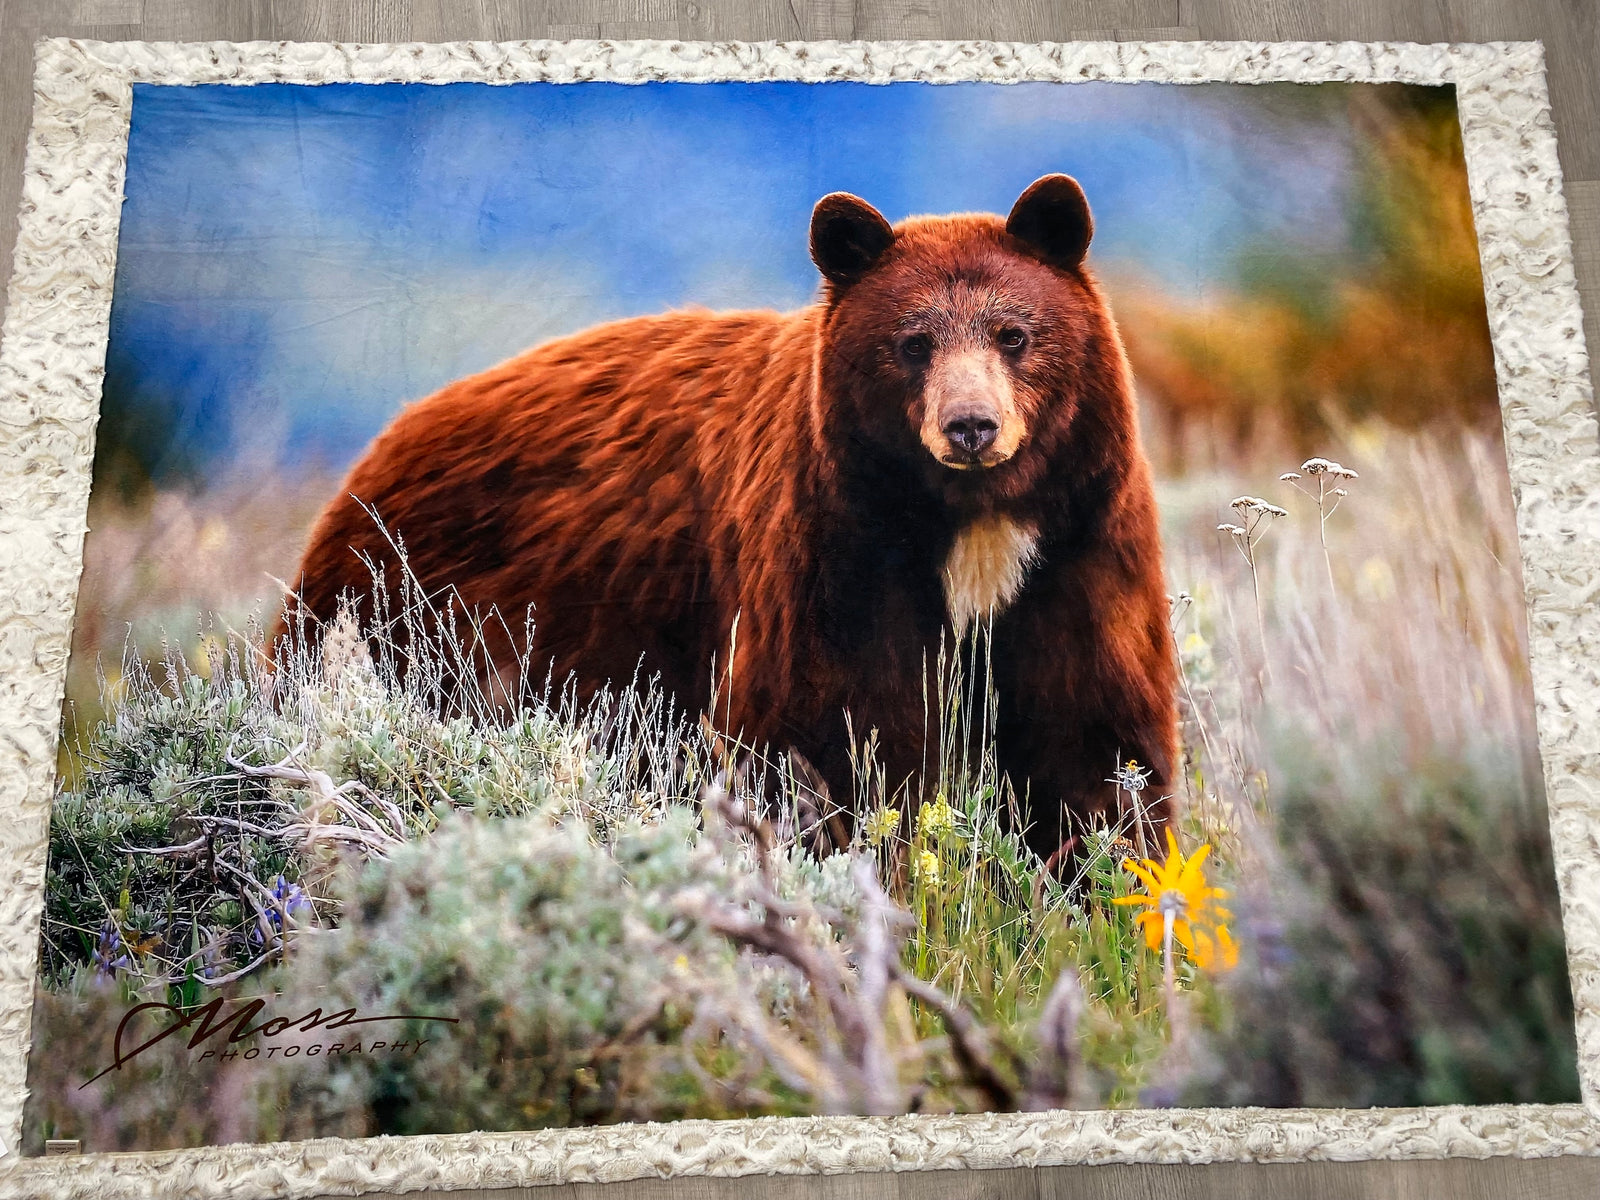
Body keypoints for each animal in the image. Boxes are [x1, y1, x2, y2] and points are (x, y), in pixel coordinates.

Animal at [278, 175, 1180, 867]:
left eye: (1014, 332)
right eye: (914, 341)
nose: (970, 426)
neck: (968, 527)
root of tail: (368, 462)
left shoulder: (1080, 544)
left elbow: (1096, 738)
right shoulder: (834, 550)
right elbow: (834, 737)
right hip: (410, 616)